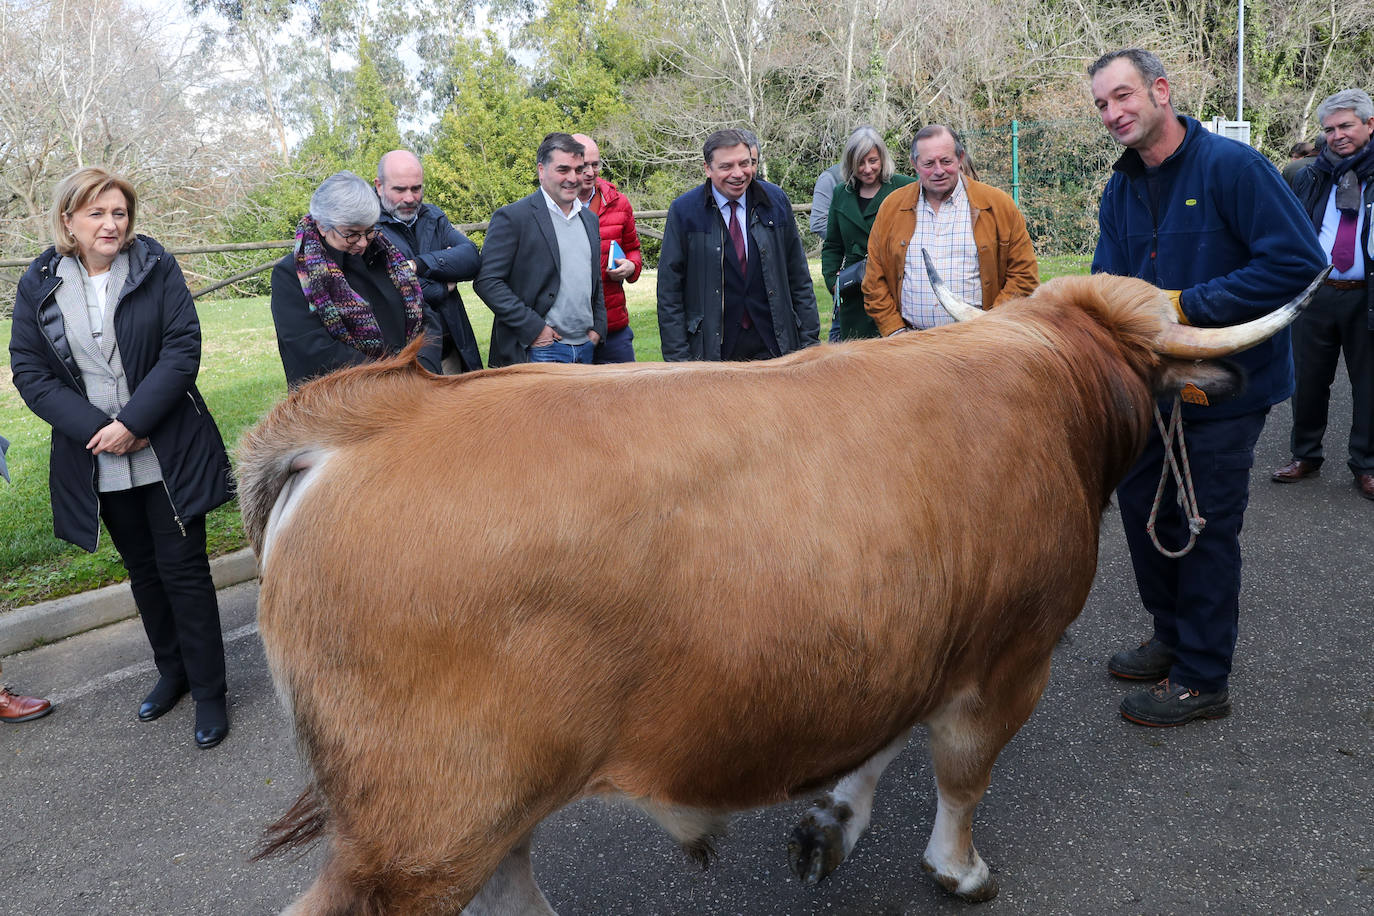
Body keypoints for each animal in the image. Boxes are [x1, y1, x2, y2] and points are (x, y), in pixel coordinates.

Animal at [239, 266, 1319, 916]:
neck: (1054, 372)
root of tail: (373, 415)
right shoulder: (1009, 657)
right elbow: (962, 773)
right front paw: (958, 869)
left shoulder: (899, 637)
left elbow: (879, 745)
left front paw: (832, 822)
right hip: (418, 827)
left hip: (472, 808)